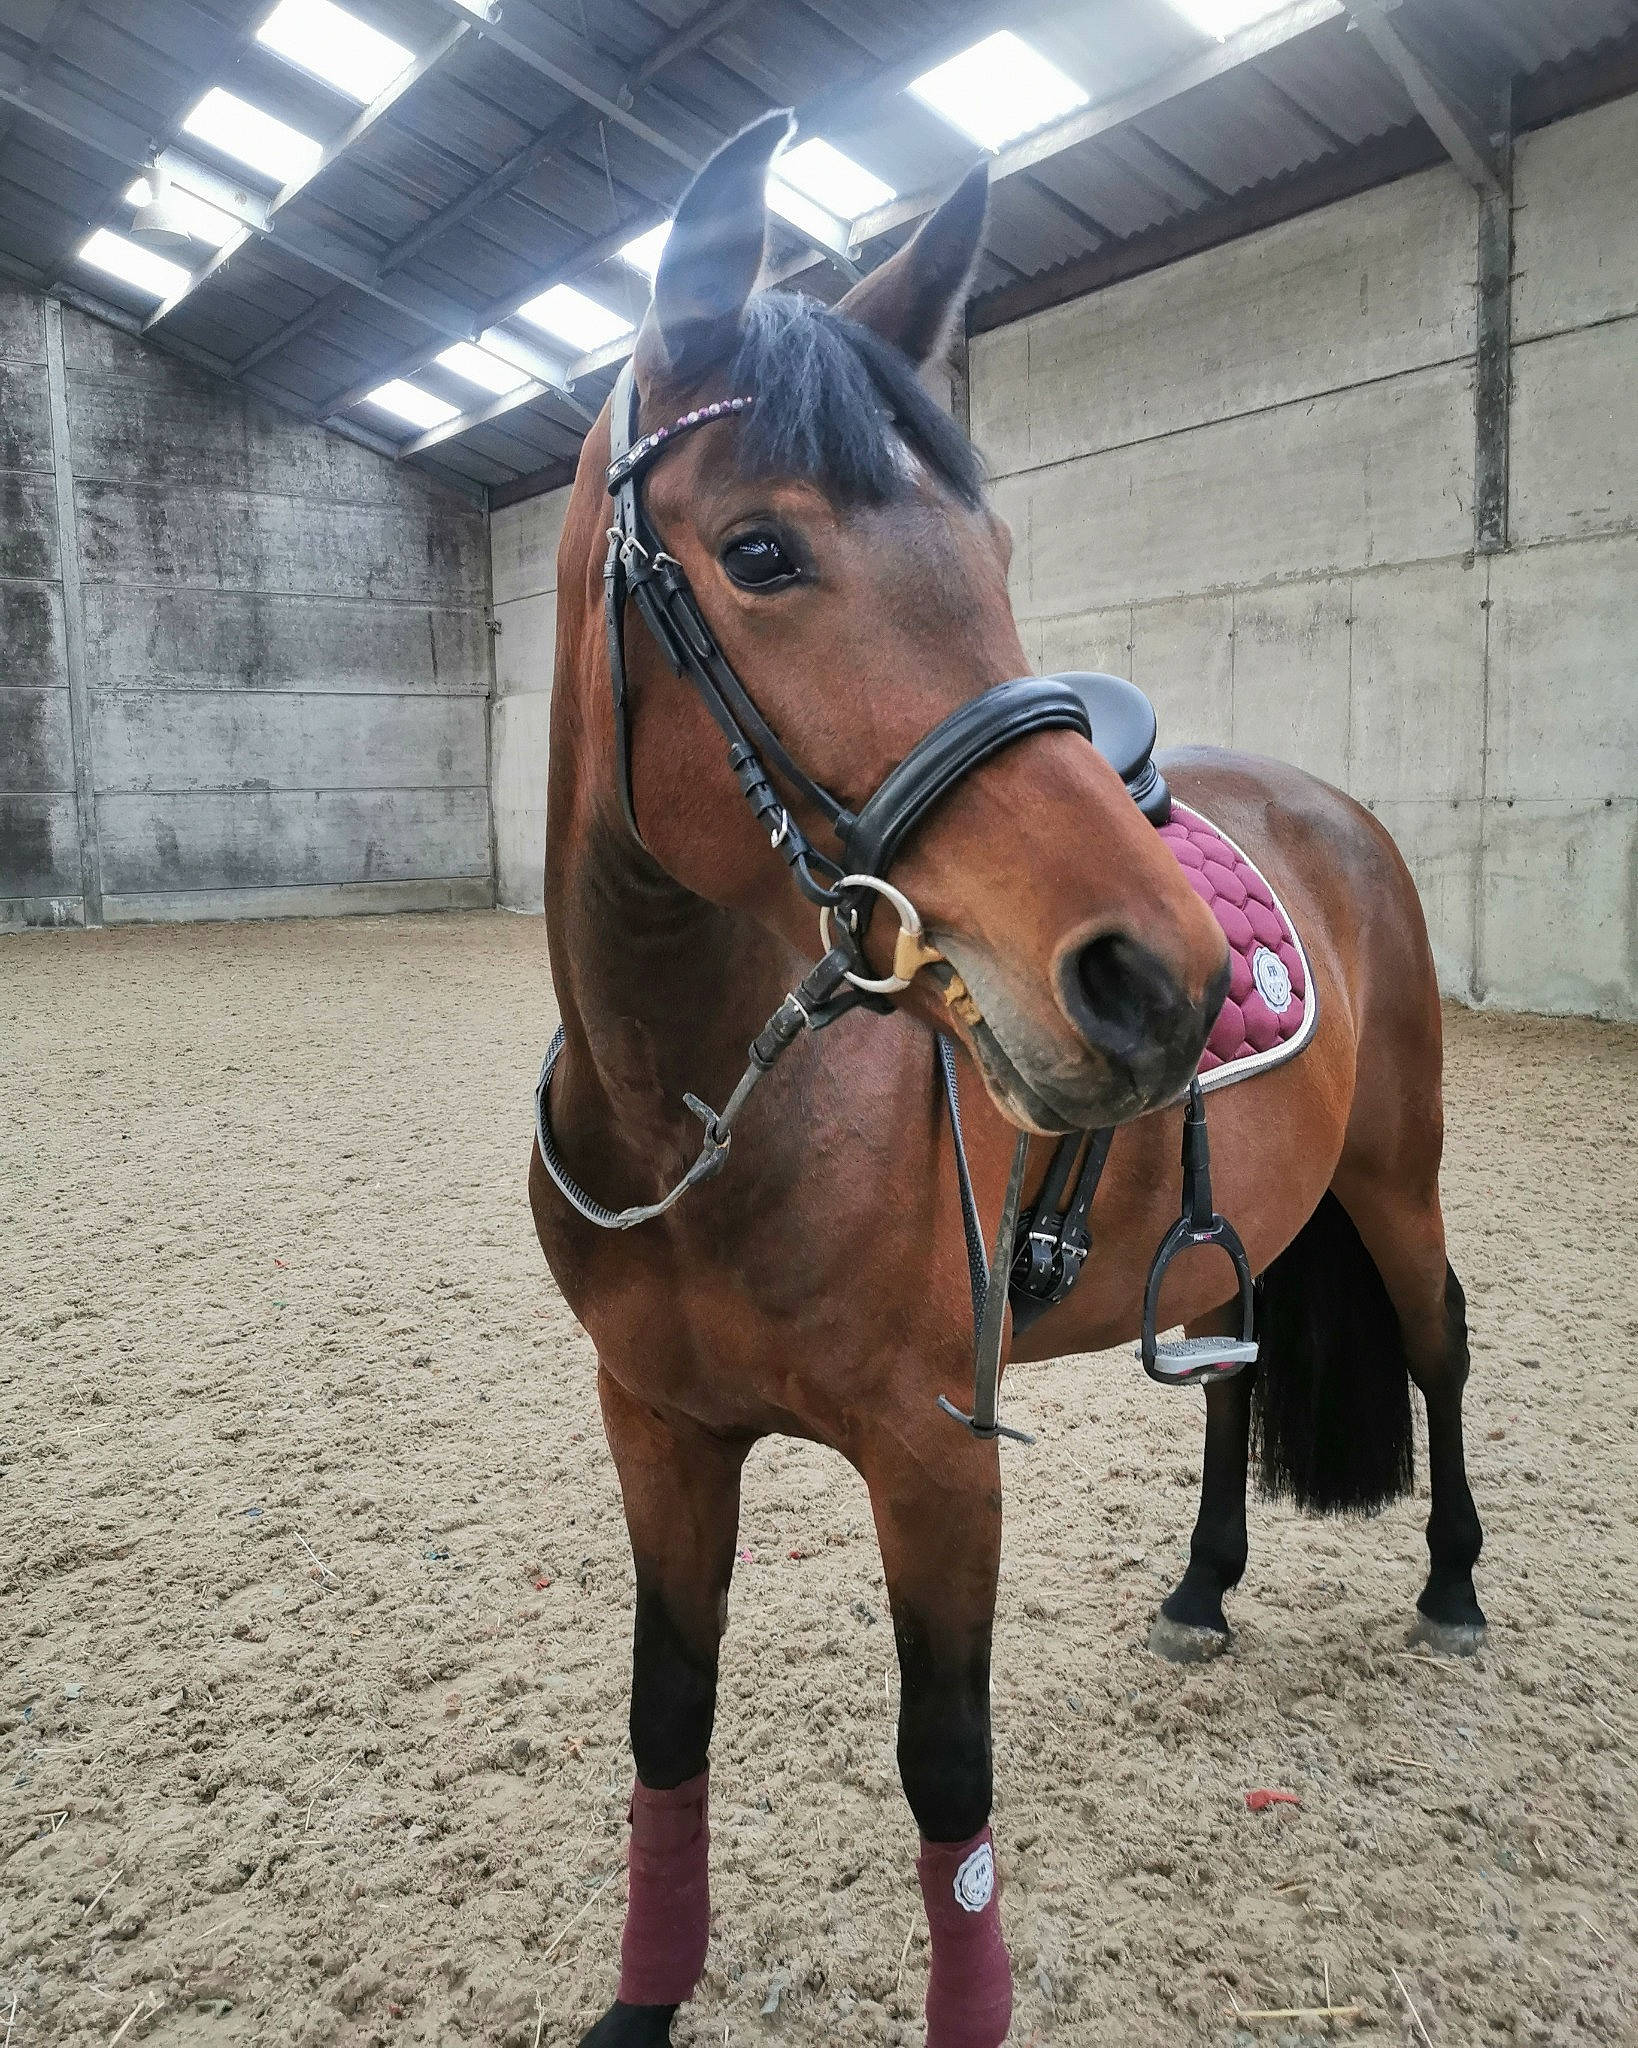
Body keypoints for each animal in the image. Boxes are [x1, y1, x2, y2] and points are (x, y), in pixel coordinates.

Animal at [528, 111, 1485, 2048]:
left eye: (990, 539)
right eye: (759, 548)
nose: (1163, 978)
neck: (699, 1121)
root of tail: (1335, 812)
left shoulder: (933, 1458)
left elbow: (946, 1777)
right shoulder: (655, 1427)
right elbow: (666, 1722)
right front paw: (642, 2001)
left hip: (1393, 1174)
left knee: (1438, 1336)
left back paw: (1448, 1584)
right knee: (1226, 1371)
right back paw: (1201, 1586)